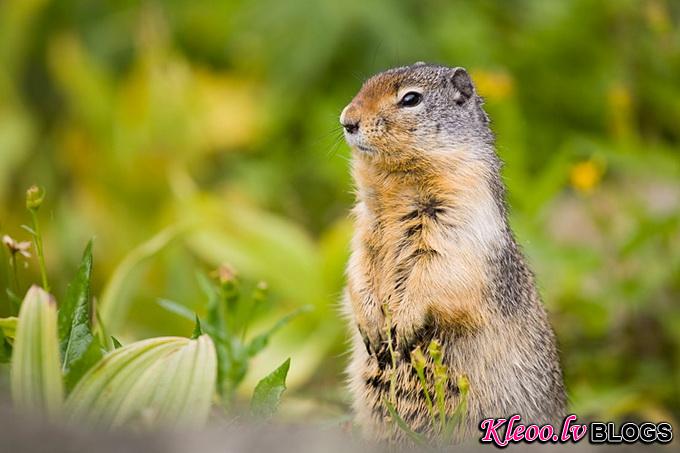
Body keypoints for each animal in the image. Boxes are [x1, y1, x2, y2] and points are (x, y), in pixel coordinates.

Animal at [340, 62, 568, 442]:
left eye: (411, 98)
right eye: (364, 85)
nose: (347, 121)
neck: (395, 184)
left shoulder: (460, 225)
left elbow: (439, 273)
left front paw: (401, 325)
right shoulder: (364, 228)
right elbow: (357, 267)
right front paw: (371, 323)